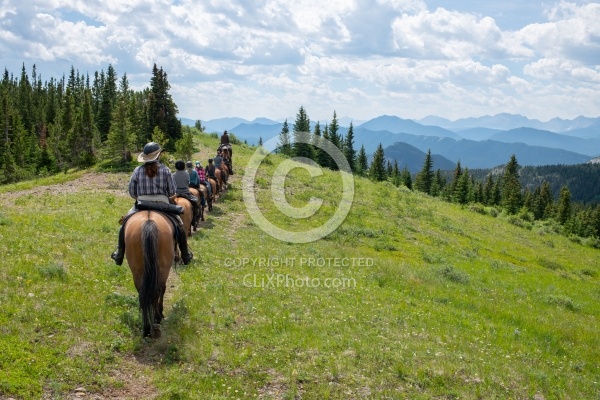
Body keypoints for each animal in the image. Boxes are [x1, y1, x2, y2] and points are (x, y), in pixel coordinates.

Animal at [123, 209, 176, 338]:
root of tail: (148, 222)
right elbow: (162, 290)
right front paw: (161, 312)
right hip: (163, 270)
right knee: (157, 292)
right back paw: (156, 320)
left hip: (137, 271)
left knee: (143, 295)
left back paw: (146, 328)